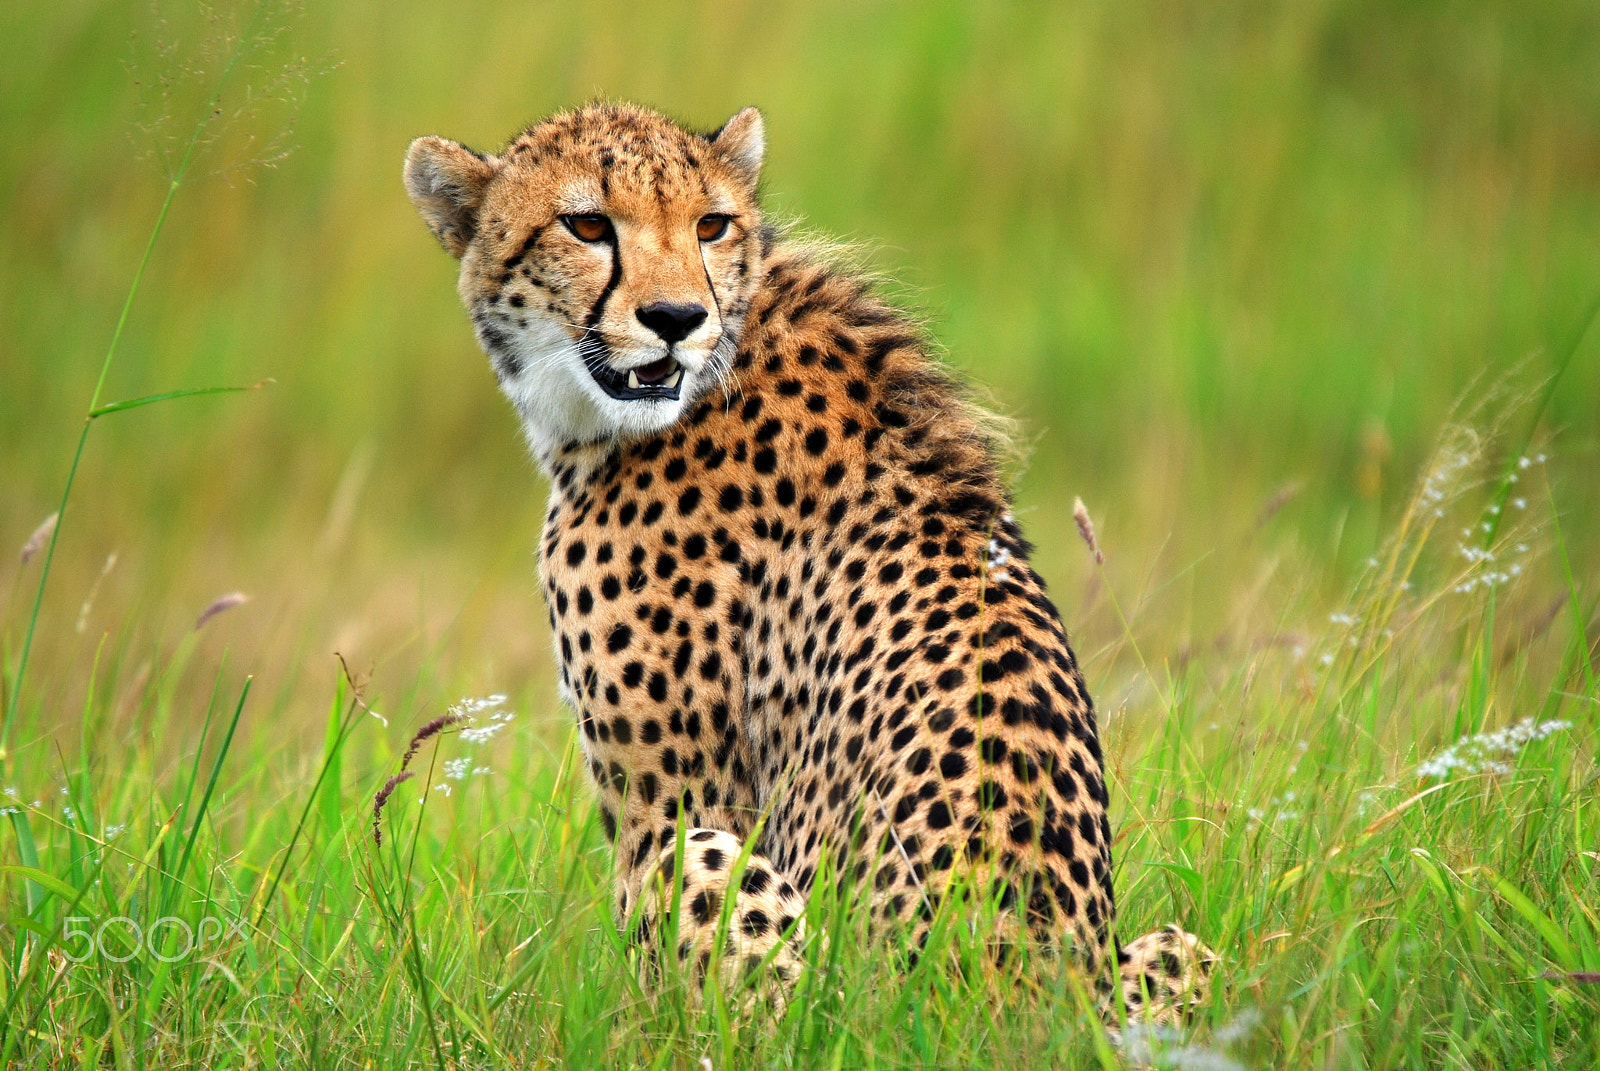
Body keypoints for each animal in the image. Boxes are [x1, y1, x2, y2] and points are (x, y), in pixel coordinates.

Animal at [404, 100, 1215, 1025]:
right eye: (586, 225)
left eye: (711, 224)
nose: (676, 317)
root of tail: (1017, 1008)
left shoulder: (675, 800)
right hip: (1177, 949)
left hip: (726, 876)